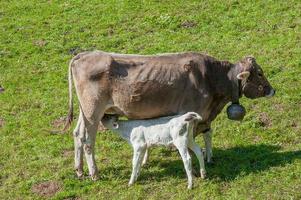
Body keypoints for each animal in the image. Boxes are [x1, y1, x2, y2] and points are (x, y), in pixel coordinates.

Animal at [63, 50, 274, 180]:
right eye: (260, 73)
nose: (272, 90)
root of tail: (85, 54)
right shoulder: (193, 114)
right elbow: (190, 146)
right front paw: (195, 170)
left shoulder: (204, 116)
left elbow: (207, 135)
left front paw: (209, 159)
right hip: (93, 111)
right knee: (88, 140)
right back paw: (94, 173)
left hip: (85, 112)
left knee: (78, 134)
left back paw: (79, 171)